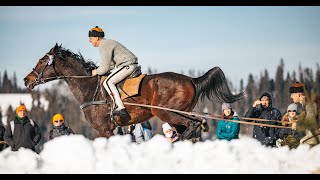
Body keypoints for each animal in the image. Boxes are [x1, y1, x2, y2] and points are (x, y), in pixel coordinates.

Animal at [24, 43, 245, 139]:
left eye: (42, 61)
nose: (27, 80)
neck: (89, 87)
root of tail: (191, 79)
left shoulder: (104, 130)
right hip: (177, 113)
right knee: (194, 126)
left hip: (164, 112)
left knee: (192, 125)